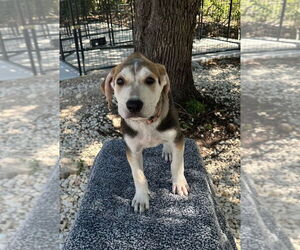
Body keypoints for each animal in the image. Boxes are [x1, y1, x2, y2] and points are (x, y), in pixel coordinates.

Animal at [102, 52, 189, 213]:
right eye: (120, 81)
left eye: (150, 80)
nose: (133, 105)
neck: (145, 123)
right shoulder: (132, 150)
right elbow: (138, 175)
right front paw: (142, 198)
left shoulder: (178, 138)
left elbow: (177, 163)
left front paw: (179, 183)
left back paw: (167, 150)